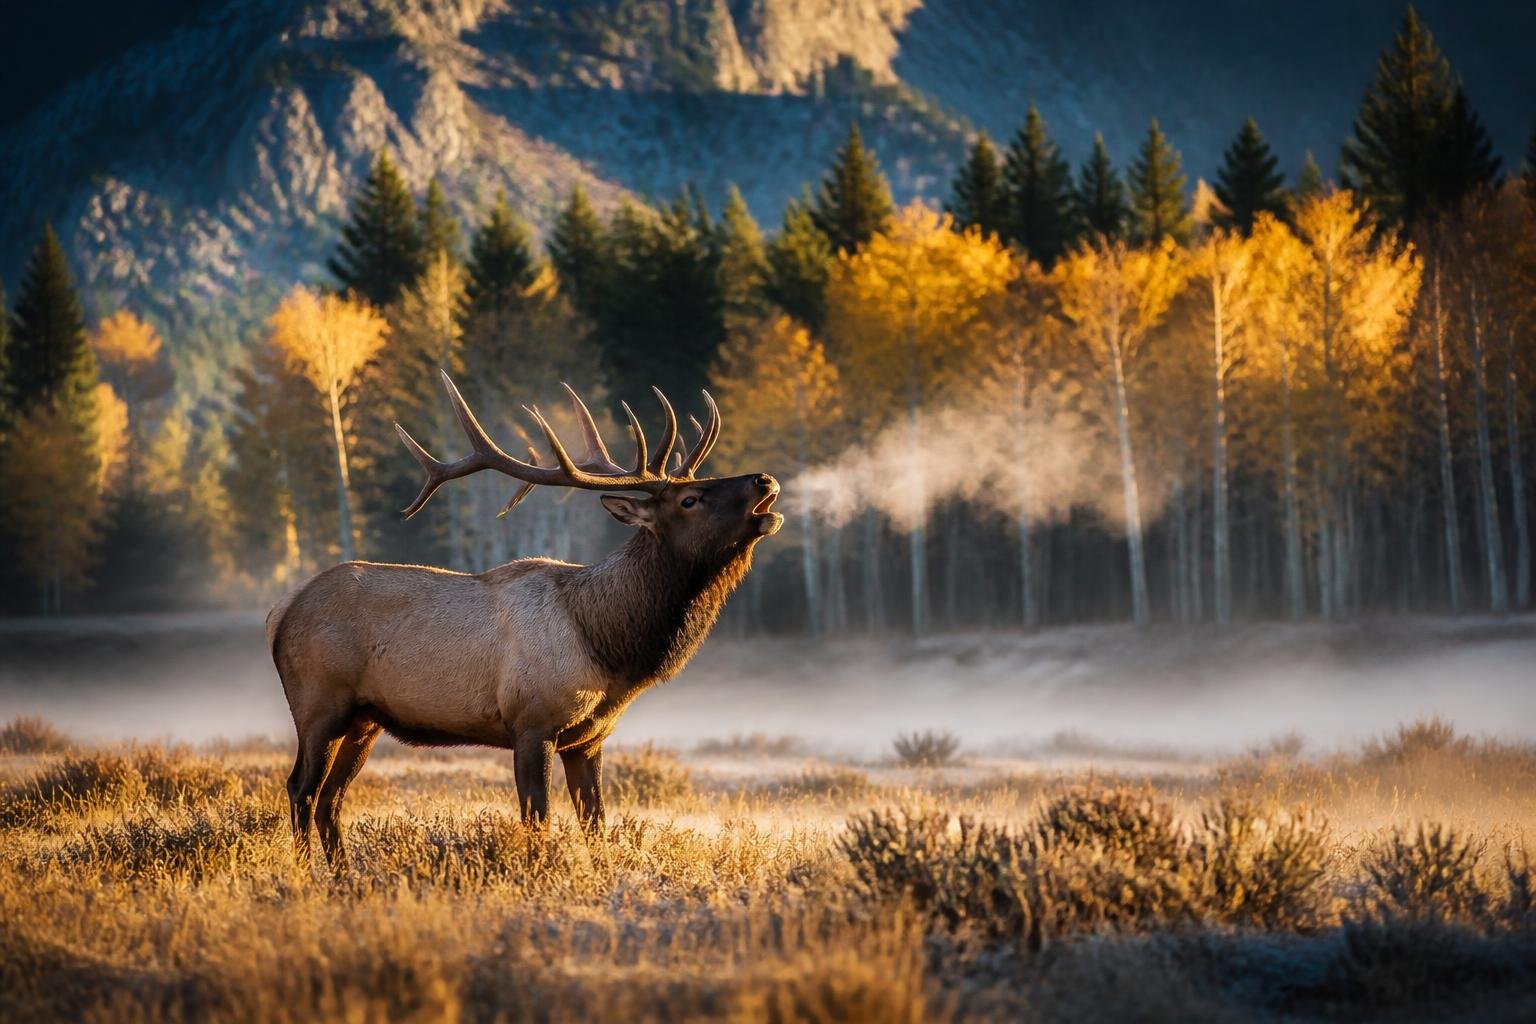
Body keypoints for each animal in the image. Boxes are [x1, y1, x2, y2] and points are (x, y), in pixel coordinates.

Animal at [267, 371, 782, 868]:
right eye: (690, 499)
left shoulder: (588, 738)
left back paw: (342, 875)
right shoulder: (532, 722)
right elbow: (538, 820)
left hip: (365, 721)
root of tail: (280, 612)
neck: (608, 647)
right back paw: (306, 874)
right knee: (302, 789)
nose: (764, 479)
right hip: (319, 705)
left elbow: (595, 824)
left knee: (331, 799)